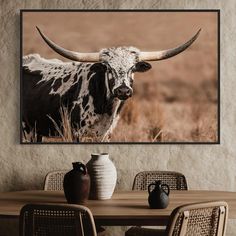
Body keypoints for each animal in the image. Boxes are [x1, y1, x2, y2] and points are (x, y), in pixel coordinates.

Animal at [22, 27, 200, 142]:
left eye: (133, 68)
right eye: (108, 68)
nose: (123, 91)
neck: (105, 108)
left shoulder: (104, 135)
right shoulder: (75, 133)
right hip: (27, 130)